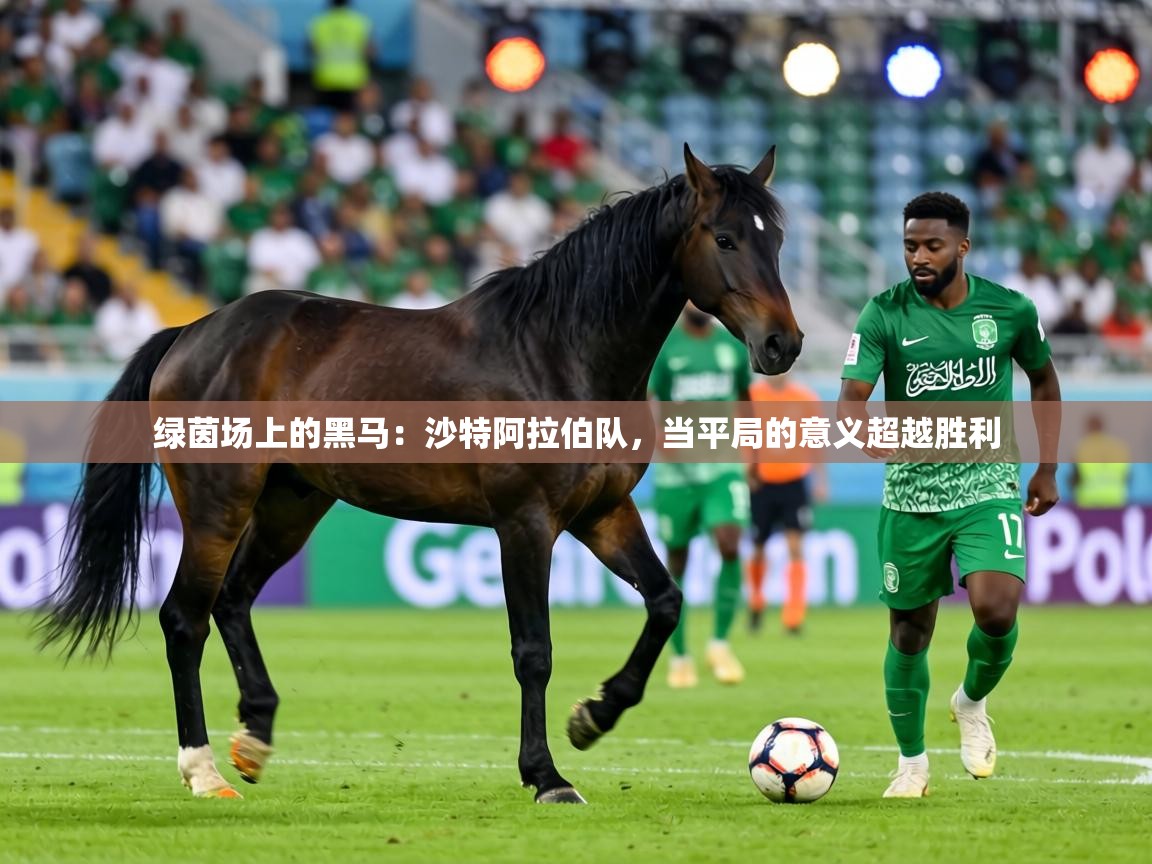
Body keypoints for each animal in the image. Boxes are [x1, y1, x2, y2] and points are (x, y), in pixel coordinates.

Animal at [38, 144, 803, 804]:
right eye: (725, 239)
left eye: (776, 241)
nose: (783, 343)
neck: (558, 351)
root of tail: (193, 333)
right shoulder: (524, 524)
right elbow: (534, 650)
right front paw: (546, 774)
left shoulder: (603, 513)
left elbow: (666, 601)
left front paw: (595, 714)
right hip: (218, 505)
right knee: (184, 619)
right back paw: (201, 769)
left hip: (291, 504)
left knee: (232, 600)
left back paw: (254, 735)